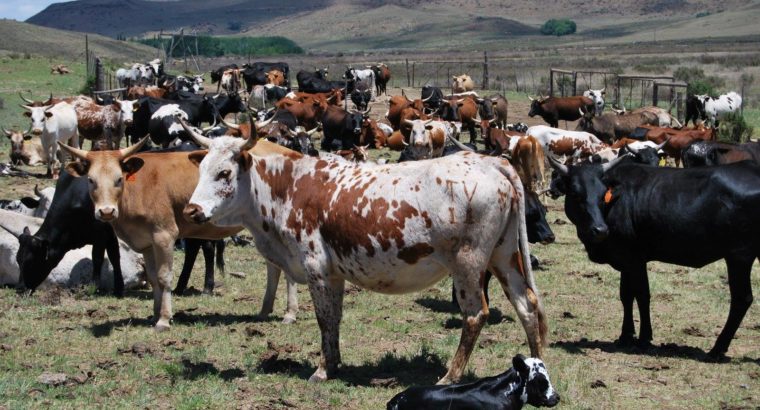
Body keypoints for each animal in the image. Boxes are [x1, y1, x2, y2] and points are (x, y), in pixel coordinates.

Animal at [183, 134, 548, 384]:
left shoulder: (316, 269)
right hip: (504, 256)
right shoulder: (334, 274)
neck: (290, 187)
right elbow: (335, 318)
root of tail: (491, 163)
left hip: (468, 264)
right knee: (527, 305)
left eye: (224, 173)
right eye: (201, 170)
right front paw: (334, 364)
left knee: (475, 315)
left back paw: (450, 376)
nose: (192, 210)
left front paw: (322, 370)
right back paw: (536, 369)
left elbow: (325, 319)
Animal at [549, 155, 760, 360]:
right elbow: (626, 295)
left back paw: (716, 349)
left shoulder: (635, 259)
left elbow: (642, 295)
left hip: (739, 256)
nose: (600, 230)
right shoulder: (626, 260)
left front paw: (644, 338)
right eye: (576, 194)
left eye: (602, 195)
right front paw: (625, 336)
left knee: (741, 299)